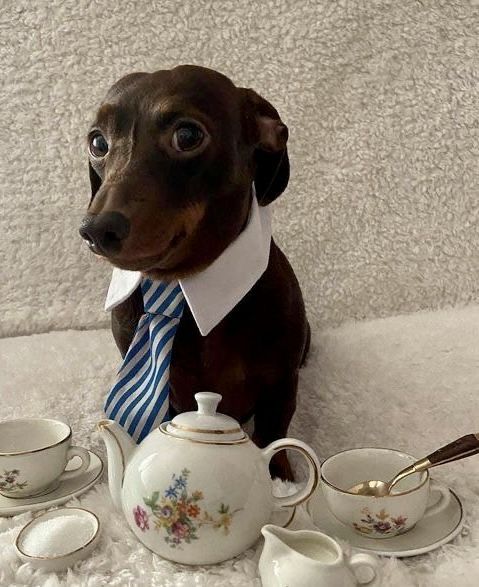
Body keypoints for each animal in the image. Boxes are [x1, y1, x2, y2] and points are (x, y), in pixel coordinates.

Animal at [80, 64, 310, 480]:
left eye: (187, 135)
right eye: (98, 143)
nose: (96, 230)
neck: (174, 286)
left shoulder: (281, 383)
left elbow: (274, 433)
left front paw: (280, 478)